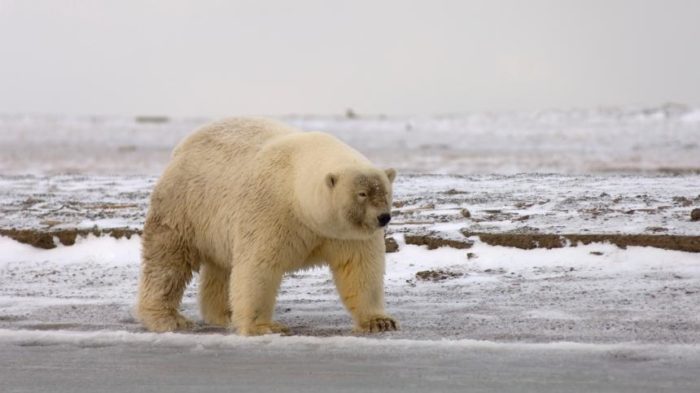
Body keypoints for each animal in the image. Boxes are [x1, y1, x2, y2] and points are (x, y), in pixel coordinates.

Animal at [138, 116, 400, 334]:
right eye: (362, 194)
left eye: (385, 192)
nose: (383, 217)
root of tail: (183, 146)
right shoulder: (272, 212)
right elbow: (258, 267)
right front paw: (265, 326)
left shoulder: (345, 234)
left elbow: (360, 268)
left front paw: (380, 322)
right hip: (185, 205)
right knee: (168, 261)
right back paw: (167, 318)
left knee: (221, 268)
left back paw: (225, 313)